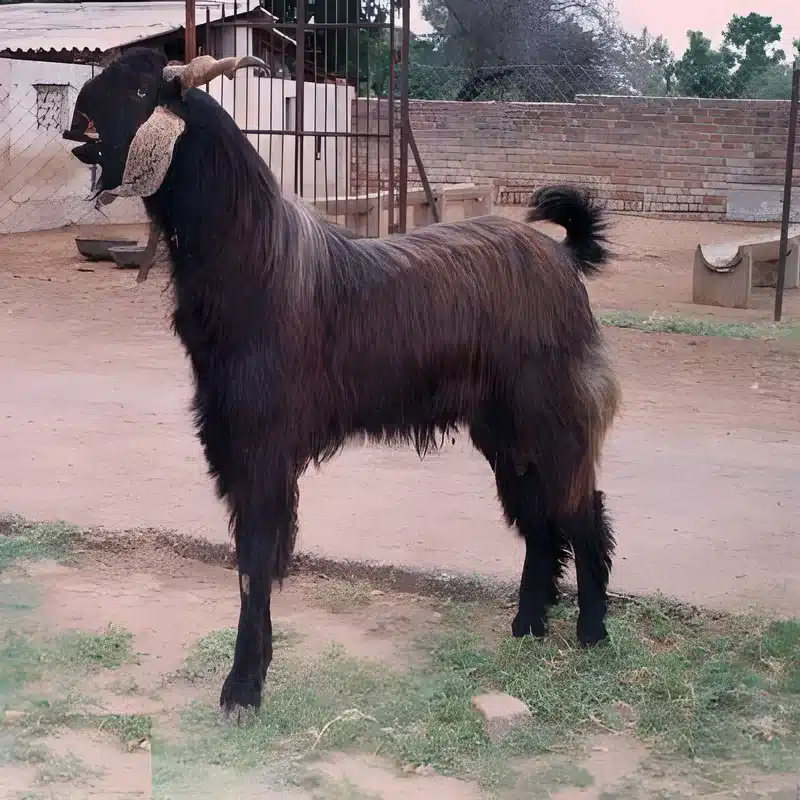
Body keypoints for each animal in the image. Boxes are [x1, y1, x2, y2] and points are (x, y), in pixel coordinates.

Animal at [64, 49, 621, 715]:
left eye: (143, 90)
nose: (78, 115)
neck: (255, 260)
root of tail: (561, 259)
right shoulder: (237, 444)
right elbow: (254, 560)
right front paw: (255, 671)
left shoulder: (263, 445)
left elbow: (255, 560)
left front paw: (243, 685)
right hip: (504, 430)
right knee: (539, 518)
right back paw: (529, 624)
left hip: (551, 416)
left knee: (581, 511)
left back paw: (592, 631)